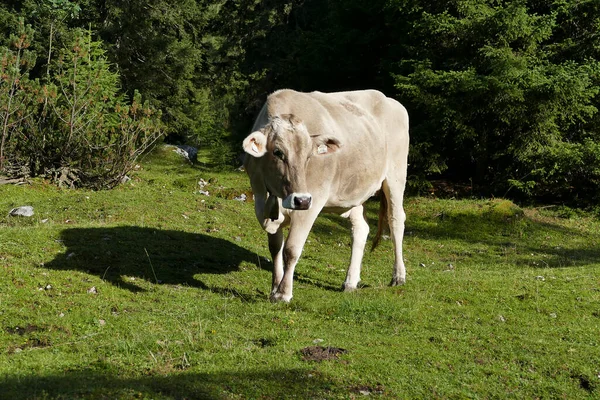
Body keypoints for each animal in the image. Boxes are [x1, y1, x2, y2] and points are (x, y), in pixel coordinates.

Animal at [243, 90, 408, 304]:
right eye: (278, 152)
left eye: (308, 156)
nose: (301, 200)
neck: (275, 195)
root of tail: (389, 100)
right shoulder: (263, 203)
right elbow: (275, 248)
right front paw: (274, 288)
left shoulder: (311, 205)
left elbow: (291, 249)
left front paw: (283, 293)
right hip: (354, 192)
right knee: (361, 229)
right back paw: (350, 281)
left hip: (396, 176)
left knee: (396, 220)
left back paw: (398, 276)